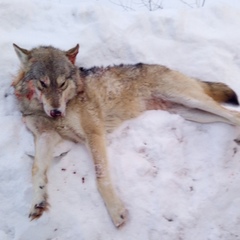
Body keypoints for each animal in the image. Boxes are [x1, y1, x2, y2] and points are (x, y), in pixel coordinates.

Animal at [12, 42, 240, 227]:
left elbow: (101, 178)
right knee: (231, 116)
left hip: (190, 100)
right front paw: (38, 201)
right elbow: (36, 169)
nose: (57, 112)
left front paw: (116, 211)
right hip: (190, 112)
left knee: (233, 114)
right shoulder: (45, 136)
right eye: (42, 83)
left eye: (62, 83)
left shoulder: (93, 133)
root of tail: (166, 67)